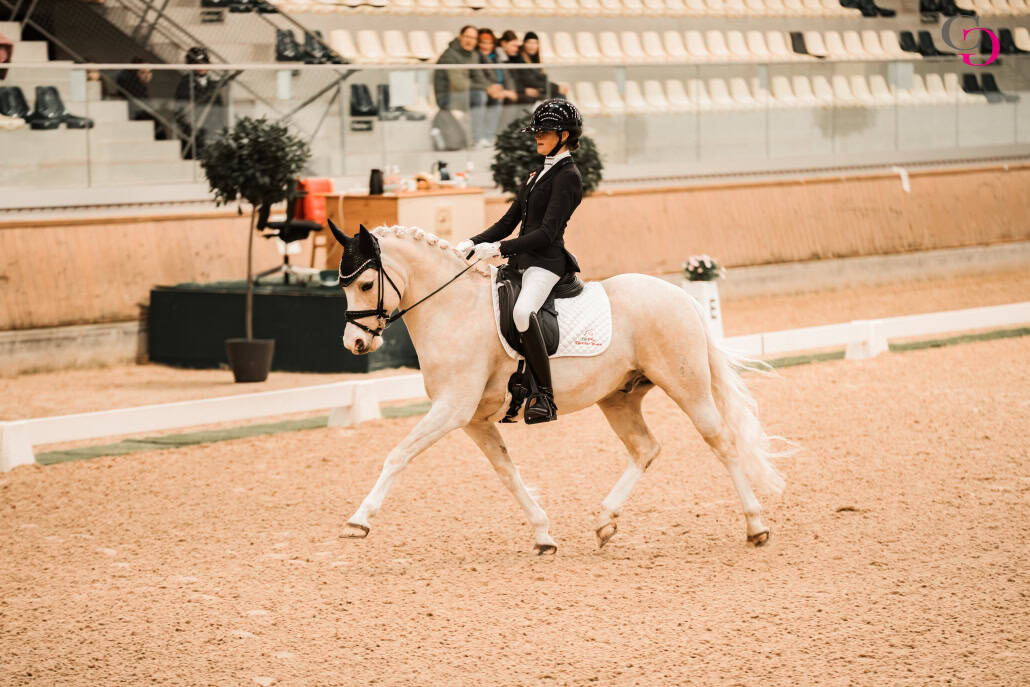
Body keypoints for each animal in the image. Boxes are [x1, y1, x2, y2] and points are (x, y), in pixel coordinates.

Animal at [331, 221, 788, 554]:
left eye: (366, 285)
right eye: (342, 285)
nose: (354, 345)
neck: (455, 309)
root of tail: (682, 297)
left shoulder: (452, 408)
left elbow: (398, 455)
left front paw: (358, 521)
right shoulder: (474, 419)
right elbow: (507, 473)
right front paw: (543, 535)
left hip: (685, 385)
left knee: (722, 442)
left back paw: (756, 526)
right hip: (618, 397)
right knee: (646, 449)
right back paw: (605, 522)